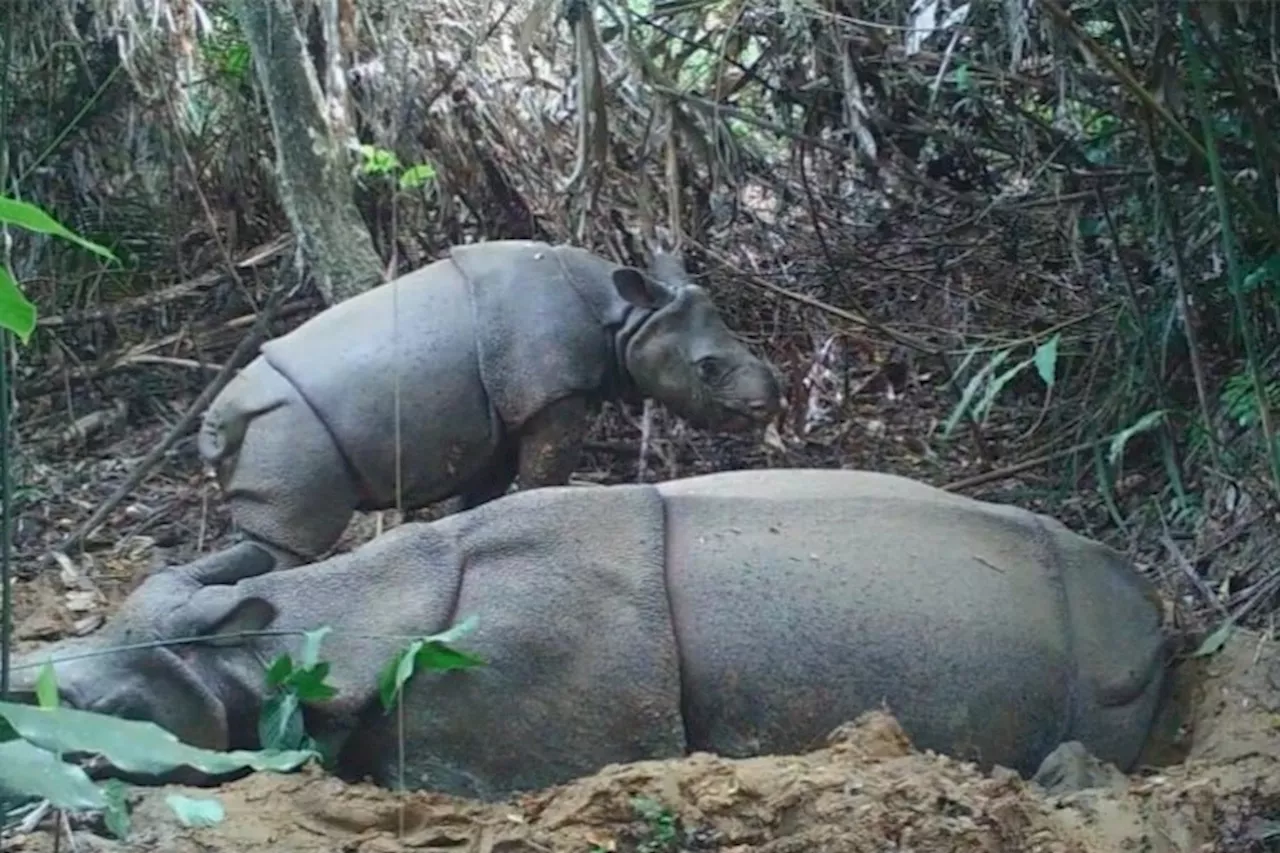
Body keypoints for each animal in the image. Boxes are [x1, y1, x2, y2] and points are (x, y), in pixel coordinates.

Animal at [198, 236, 778, 563]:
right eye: (709, 369)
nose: (769, 406)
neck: (625, 318)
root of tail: (219, 418)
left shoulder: (500, 415)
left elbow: (483, 497)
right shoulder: (553, 395)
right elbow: (542, 478)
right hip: (286, 433)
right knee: (284, 545)